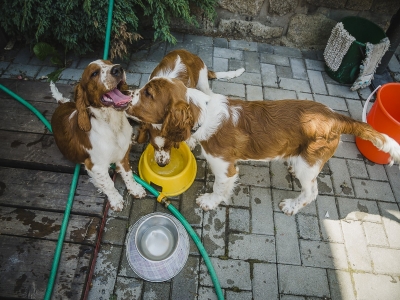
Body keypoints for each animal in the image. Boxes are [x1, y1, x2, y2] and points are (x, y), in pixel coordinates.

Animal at [50, 59, 147, 212]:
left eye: (110, 62)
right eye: (94, 74)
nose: (118, 69)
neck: (113, 125)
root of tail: (61, 106)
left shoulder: (122, 155)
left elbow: (128, 173)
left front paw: (135, 189)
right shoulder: (95, 166)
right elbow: (108, 183)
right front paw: (116, 200)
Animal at [127, 77, 400, 216]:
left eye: (148, 94)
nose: (128, 93)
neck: (201, 111)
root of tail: (335, 116)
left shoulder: (225, 168)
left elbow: (219, 187)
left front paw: (209, 201)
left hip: (309, 162)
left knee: (311, 192)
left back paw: (292, 206)